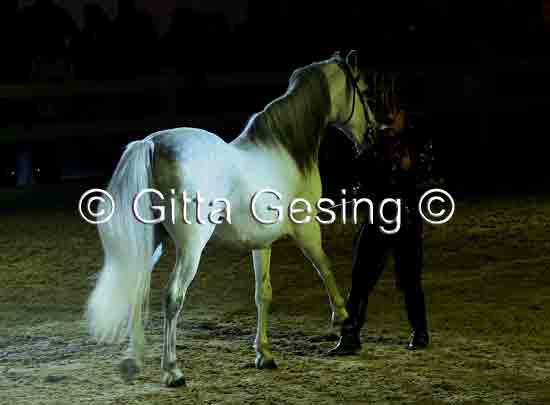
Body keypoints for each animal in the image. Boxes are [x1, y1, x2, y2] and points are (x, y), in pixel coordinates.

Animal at [86, 50, 381, 387]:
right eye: (364, 91)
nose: (374, 134)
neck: (286, 151)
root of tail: (152, 144)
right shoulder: (306, 229)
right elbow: (325, 267)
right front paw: (342, 317)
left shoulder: (262, 243)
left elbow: (263, 294)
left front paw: (264, 354)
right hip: (191, 248)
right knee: (173, 297)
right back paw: (172, 370)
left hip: (153, 242)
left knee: (137, 287)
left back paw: (133, 362)